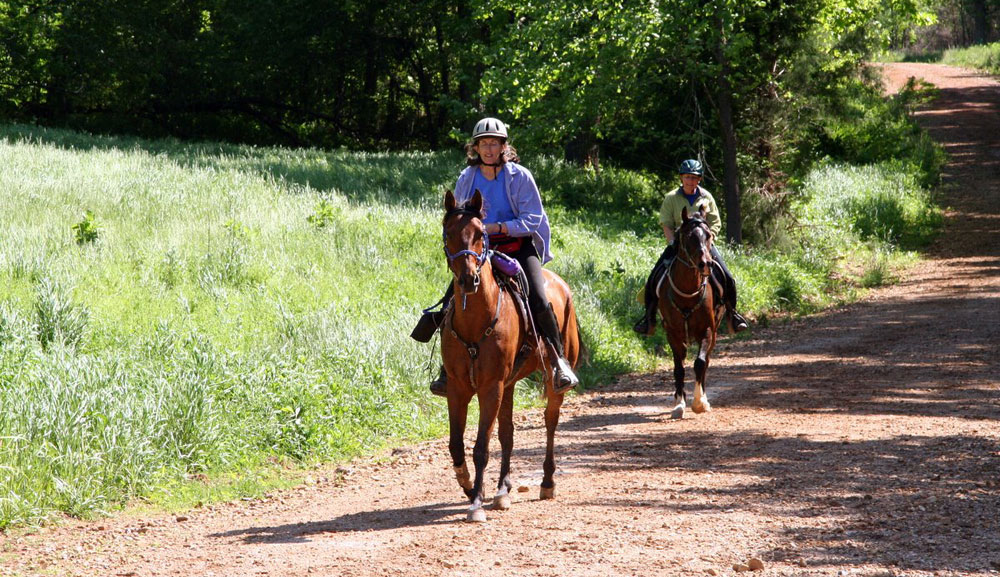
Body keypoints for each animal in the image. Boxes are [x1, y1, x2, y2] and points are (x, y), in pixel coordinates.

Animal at [442, 189, 584, 520]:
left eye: (480, 233)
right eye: (449, 232)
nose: (468, 279)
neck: (476, 321)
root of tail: (560, 283)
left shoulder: (490, 386)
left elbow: (481, 447)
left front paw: (476, 504)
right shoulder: (458, 387)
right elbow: (457, 444)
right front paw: (469, 486)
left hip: (546, 380)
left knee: (550, 421)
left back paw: (547, 482)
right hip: (508, 385)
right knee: (507, 432)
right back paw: (502, 490)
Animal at [656, 207, 728, 418]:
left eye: (709, 235)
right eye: (688, 237)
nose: (706, 264)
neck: (687, 293)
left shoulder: (707, 330)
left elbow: (700, 363)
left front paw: (699, 403)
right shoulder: (672, 333)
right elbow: (679, 368)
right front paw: (679, 404)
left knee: (706, 362)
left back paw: (703, 398)